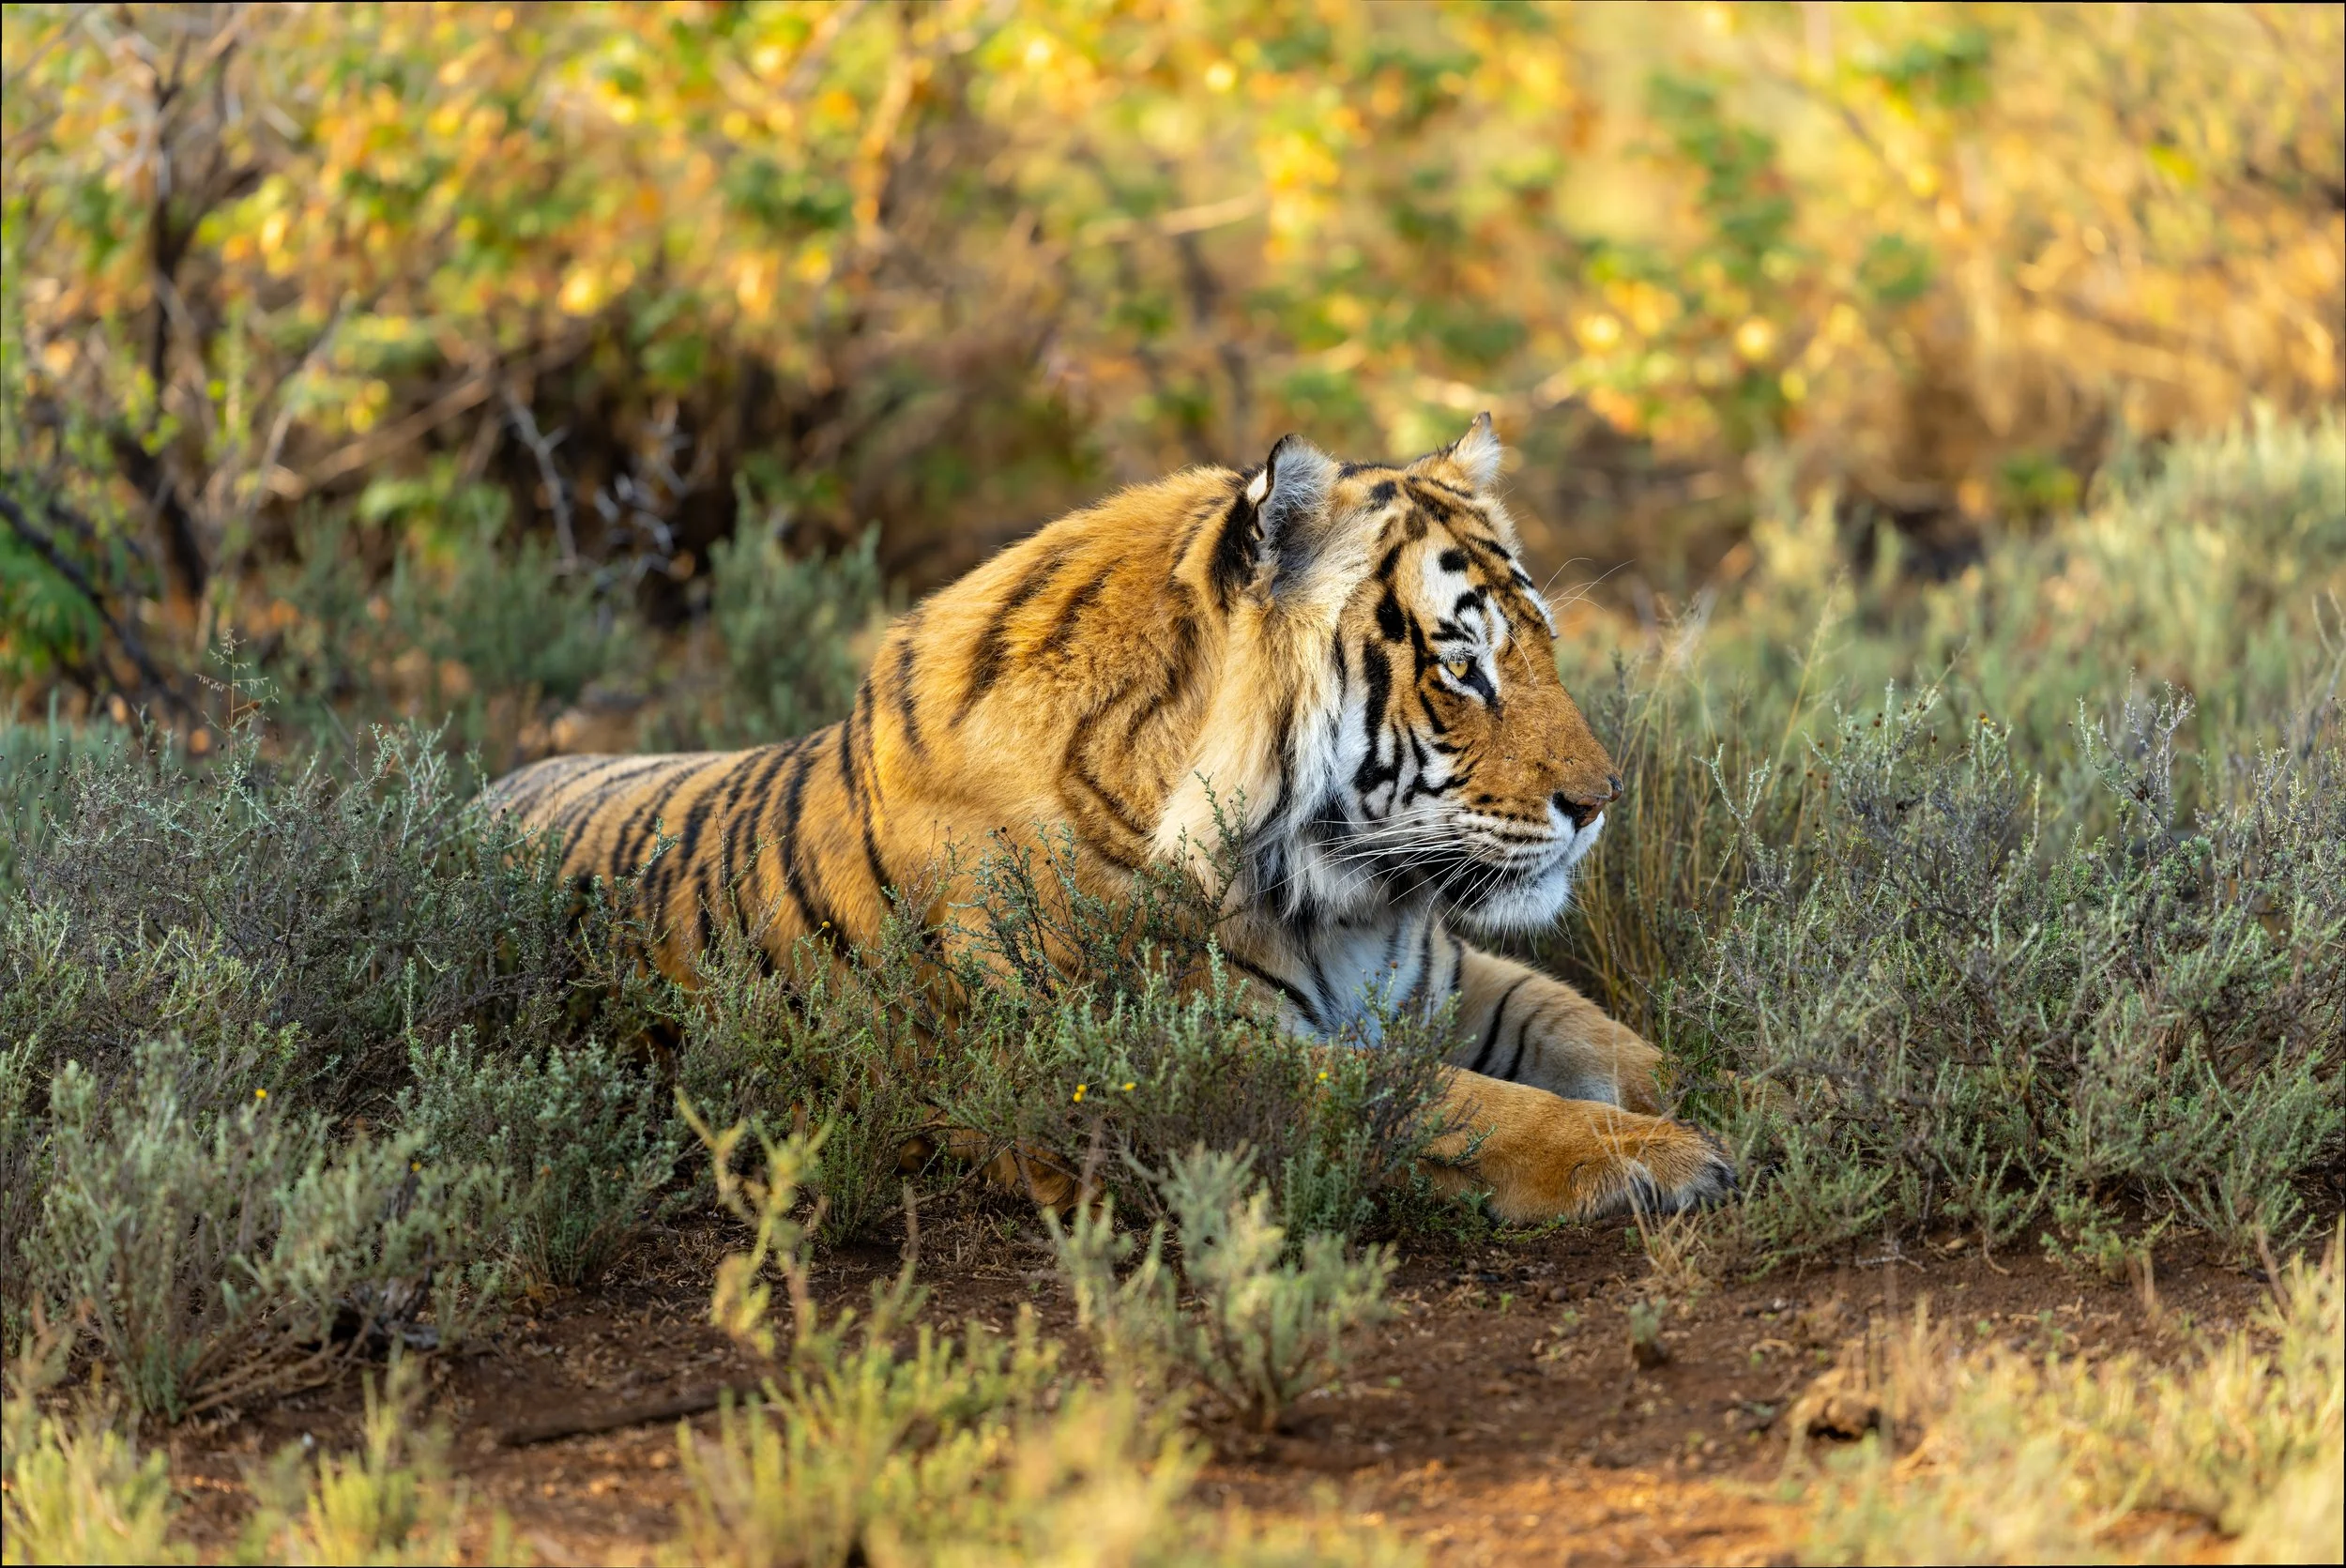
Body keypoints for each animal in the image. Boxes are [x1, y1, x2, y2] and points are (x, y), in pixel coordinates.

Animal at [490, 415, 1735, 1223]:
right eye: (1460, 664)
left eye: (1539, 648)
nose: (1602, 804)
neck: (1334, 898)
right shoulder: (1175, 1065)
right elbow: (1457, 1107)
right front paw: (1665, 1158)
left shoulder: (1437, 976)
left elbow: (1600, 1036)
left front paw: (1720, 1092)